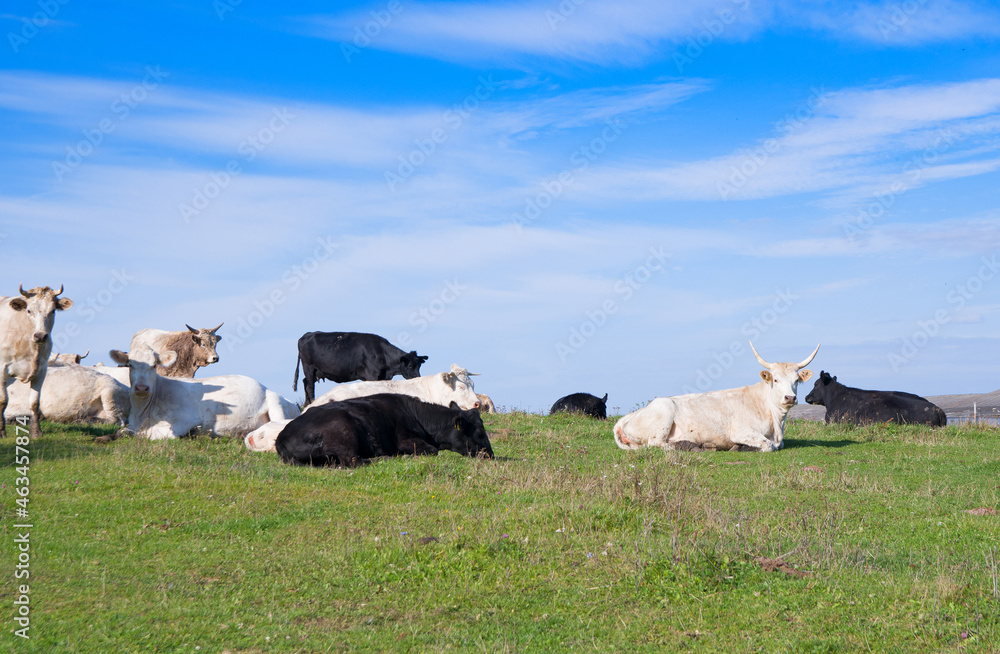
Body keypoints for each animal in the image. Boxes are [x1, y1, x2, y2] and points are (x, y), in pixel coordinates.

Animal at [0, 285, 74, 438]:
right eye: (29, 310)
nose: (40, 336)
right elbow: (3, 400)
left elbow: (34, 402)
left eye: (53, 311)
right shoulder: (2, 367)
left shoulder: (41, 370)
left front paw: (36, 432)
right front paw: (1, 431)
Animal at [109, 344, 299, 440]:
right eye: (130, 365)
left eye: (154, 365)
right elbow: (124, 431)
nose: (142, 388)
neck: (143, 414)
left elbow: (159, 434)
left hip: (276, 403)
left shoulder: (186, 418)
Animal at [275, 393, 493, 467]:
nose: (490, 455)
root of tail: (281, 437)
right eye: (480, 433)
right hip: (342, 430)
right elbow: (432, 450)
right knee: (353, 461)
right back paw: (386, 457)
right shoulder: (405, 439)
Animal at [293, 331, 428, 406]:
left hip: (316, 371)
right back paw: (311, 402)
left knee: (305, 382)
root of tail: (307, 334)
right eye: (410, 365)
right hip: (308, 367)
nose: (418, 378)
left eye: (419, 365)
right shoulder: (372, 375)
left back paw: (306, 405)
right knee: (310, 386)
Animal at [613, 342, 820, 453]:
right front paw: (740, 447)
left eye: (796, 380)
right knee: (657, 443)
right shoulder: (741, 432)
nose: (789, 398)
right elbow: (768, 445)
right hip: (664, 410)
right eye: (775, 379)